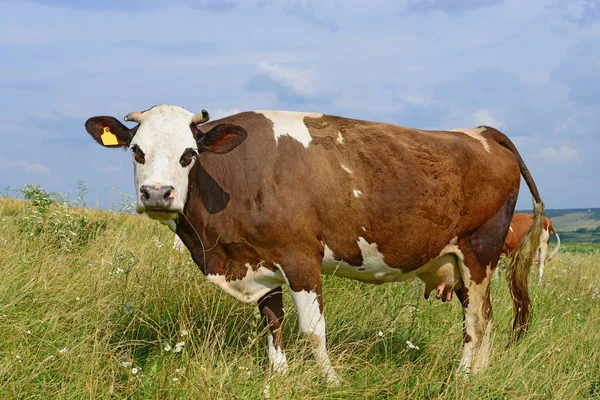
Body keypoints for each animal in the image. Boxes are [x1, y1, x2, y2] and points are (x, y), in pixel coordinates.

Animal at [86, 104, 548, 382]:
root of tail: (481, 130)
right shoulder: (261, 262)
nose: (157, 194)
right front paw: (278, 377)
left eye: (189, 154)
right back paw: (480, 373)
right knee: (485, 317)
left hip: (479, 252)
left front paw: (331, 380)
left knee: (477, 321)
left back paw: (463, 377)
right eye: (136, 151)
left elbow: (312, 331)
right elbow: (272, 324)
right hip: (457, 260)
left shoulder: (300, 258)